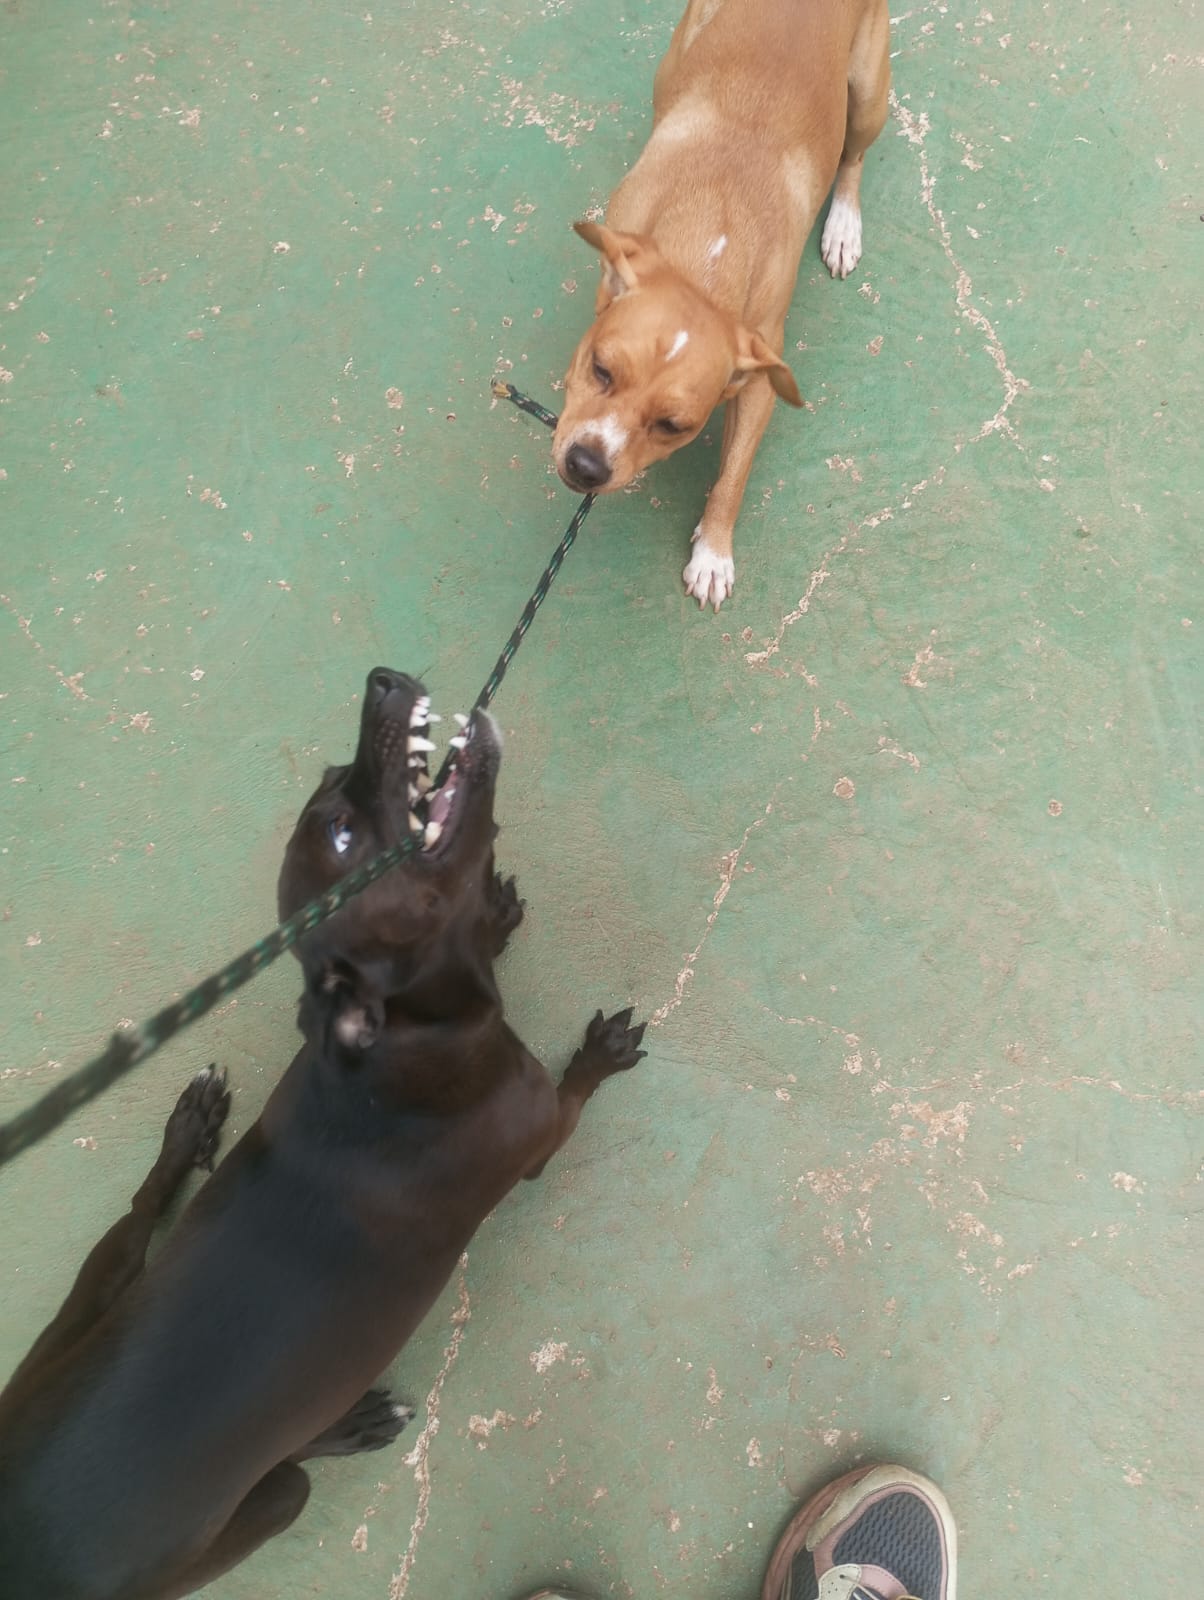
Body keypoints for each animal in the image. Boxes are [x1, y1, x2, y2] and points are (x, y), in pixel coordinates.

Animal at [0, 667, 646, 1599]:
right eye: (344, 830)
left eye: (334, 779)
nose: (382, 681)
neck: (401, 1049)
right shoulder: (536, 1133)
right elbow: (575, 1091)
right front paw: (600, 1052)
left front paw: (492, 916)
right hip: (265, 1503)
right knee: (285, 1448)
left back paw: (191, 1128)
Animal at [553, 0, 891, 611]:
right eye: (600, 369)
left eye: (673, 425)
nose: (585, 465)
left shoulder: (761, 377)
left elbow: (734, 473)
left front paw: (713, 551)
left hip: (869, 94)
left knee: (853, 156)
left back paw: (843, 225)